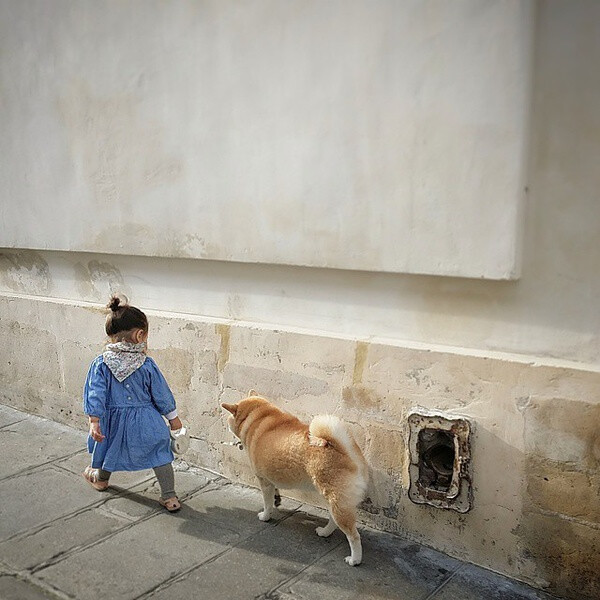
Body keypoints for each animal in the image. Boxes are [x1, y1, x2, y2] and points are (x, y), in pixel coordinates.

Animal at [223, 392, 368, 564]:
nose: (226, 424)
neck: (257, 417)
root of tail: (345, 451)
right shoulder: (271, 480)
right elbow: (273, 496)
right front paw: (277, 500)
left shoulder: (264, 481)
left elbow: (267, 504)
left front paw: (265, 516)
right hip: (332, 500)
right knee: (334, 520)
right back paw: (325, 532)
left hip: (338, 503)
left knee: (353, 536)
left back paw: (355, 559)